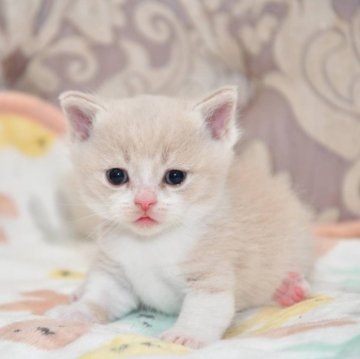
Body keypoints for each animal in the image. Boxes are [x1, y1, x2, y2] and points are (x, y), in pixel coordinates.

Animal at [47, 86, 312, 348]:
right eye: (116, 176)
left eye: (175, 176)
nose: (145, 201)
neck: (150, 244)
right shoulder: (114, 273)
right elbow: (100, 296)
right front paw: (77, 311)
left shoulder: (210, 276)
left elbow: (204, 311)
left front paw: (185, 335)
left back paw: (289, 290)